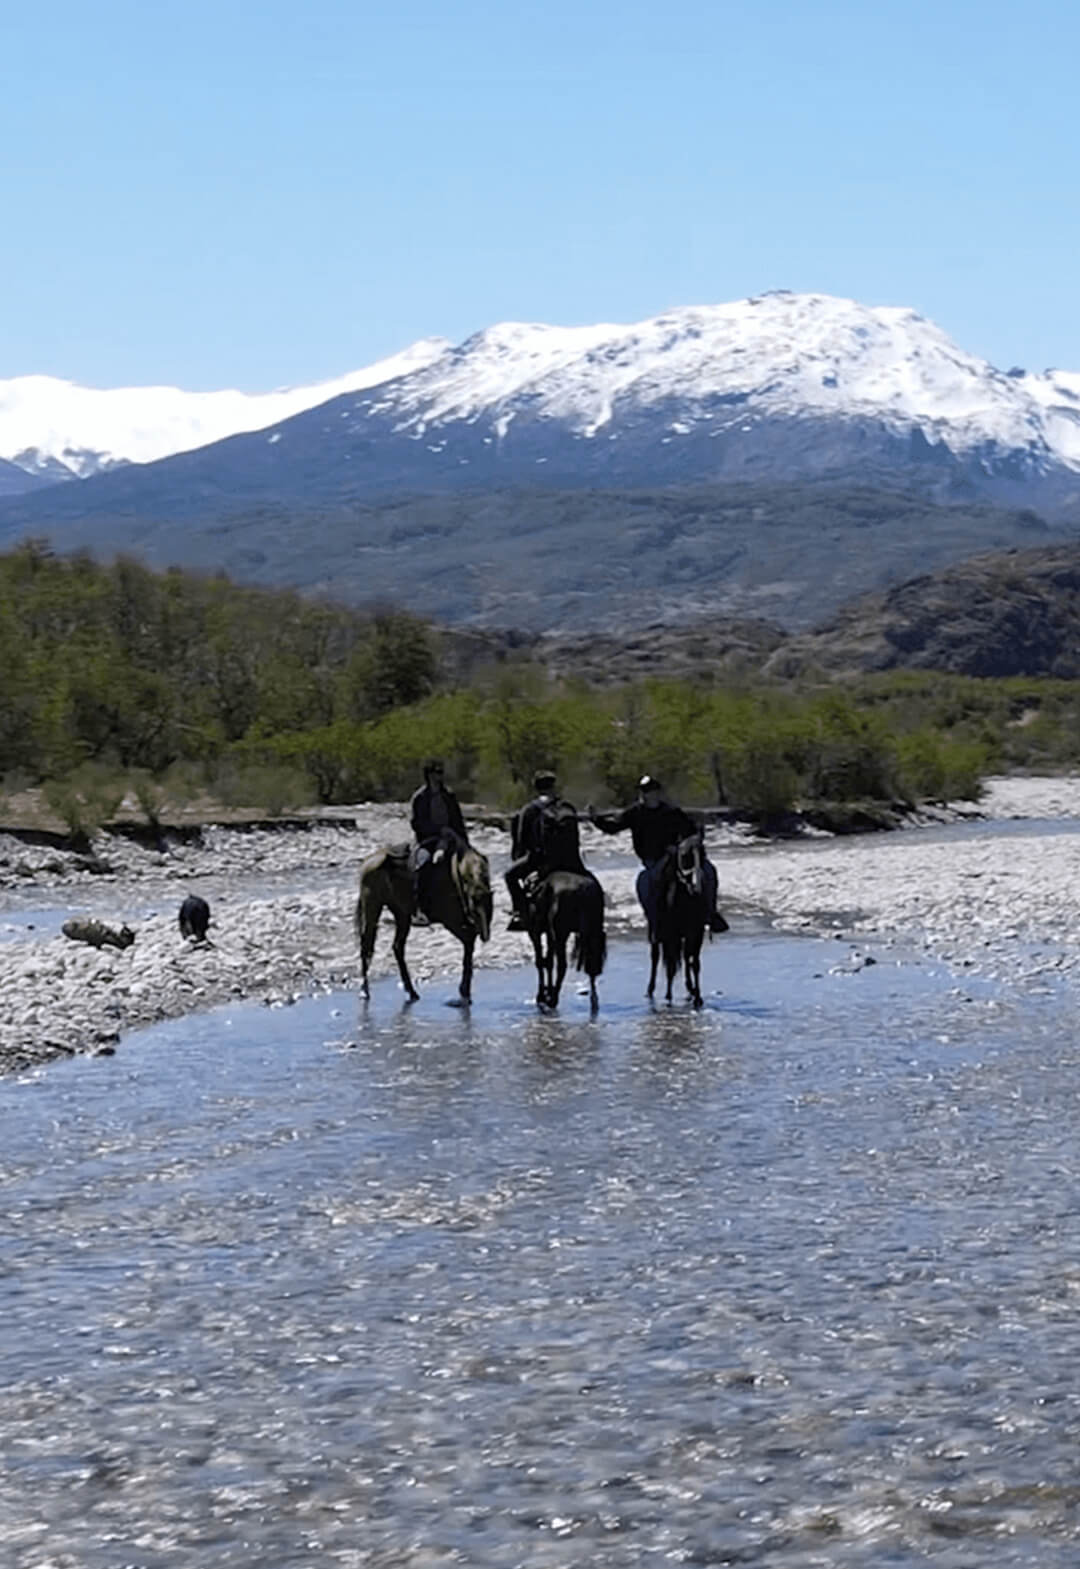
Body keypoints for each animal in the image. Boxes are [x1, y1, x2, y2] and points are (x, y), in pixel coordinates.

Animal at [354, 847, 492, 1004]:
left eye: (489, 904)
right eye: (474, 904)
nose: (485, 935)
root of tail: (368, 861)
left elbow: (469, 944)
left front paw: (465, 990)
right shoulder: (451, 922)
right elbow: (469, 941)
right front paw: (464, 991)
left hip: (401, 914)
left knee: (397, 947)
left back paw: (411, 992)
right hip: (372, 908)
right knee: (367, 948)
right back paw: (364, 991)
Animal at [524, 866, 609, 1010]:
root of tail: (581, 892)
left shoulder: (535, 932)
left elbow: (541, 961)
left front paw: (542, 996)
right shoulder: (548, 933)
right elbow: (548, 961)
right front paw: (546, 992)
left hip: (560, 933)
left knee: (562, 965)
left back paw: (553, 1000)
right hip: (593, 931)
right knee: (592, 963)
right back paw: (593, 999)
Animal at [646, 834, 712, 1004]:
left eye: (704, 853)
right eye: (684, 856)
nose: (697, 885)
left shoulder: (696, 932)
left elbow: (694, 963)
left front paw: (697, 996)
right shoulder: (671, 934)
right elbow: (670, 965)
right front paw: (668, 996)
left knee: (686, 956)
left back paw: (690, 989)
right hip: (656, 933)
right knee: (656, 956)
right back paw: (650, 990)